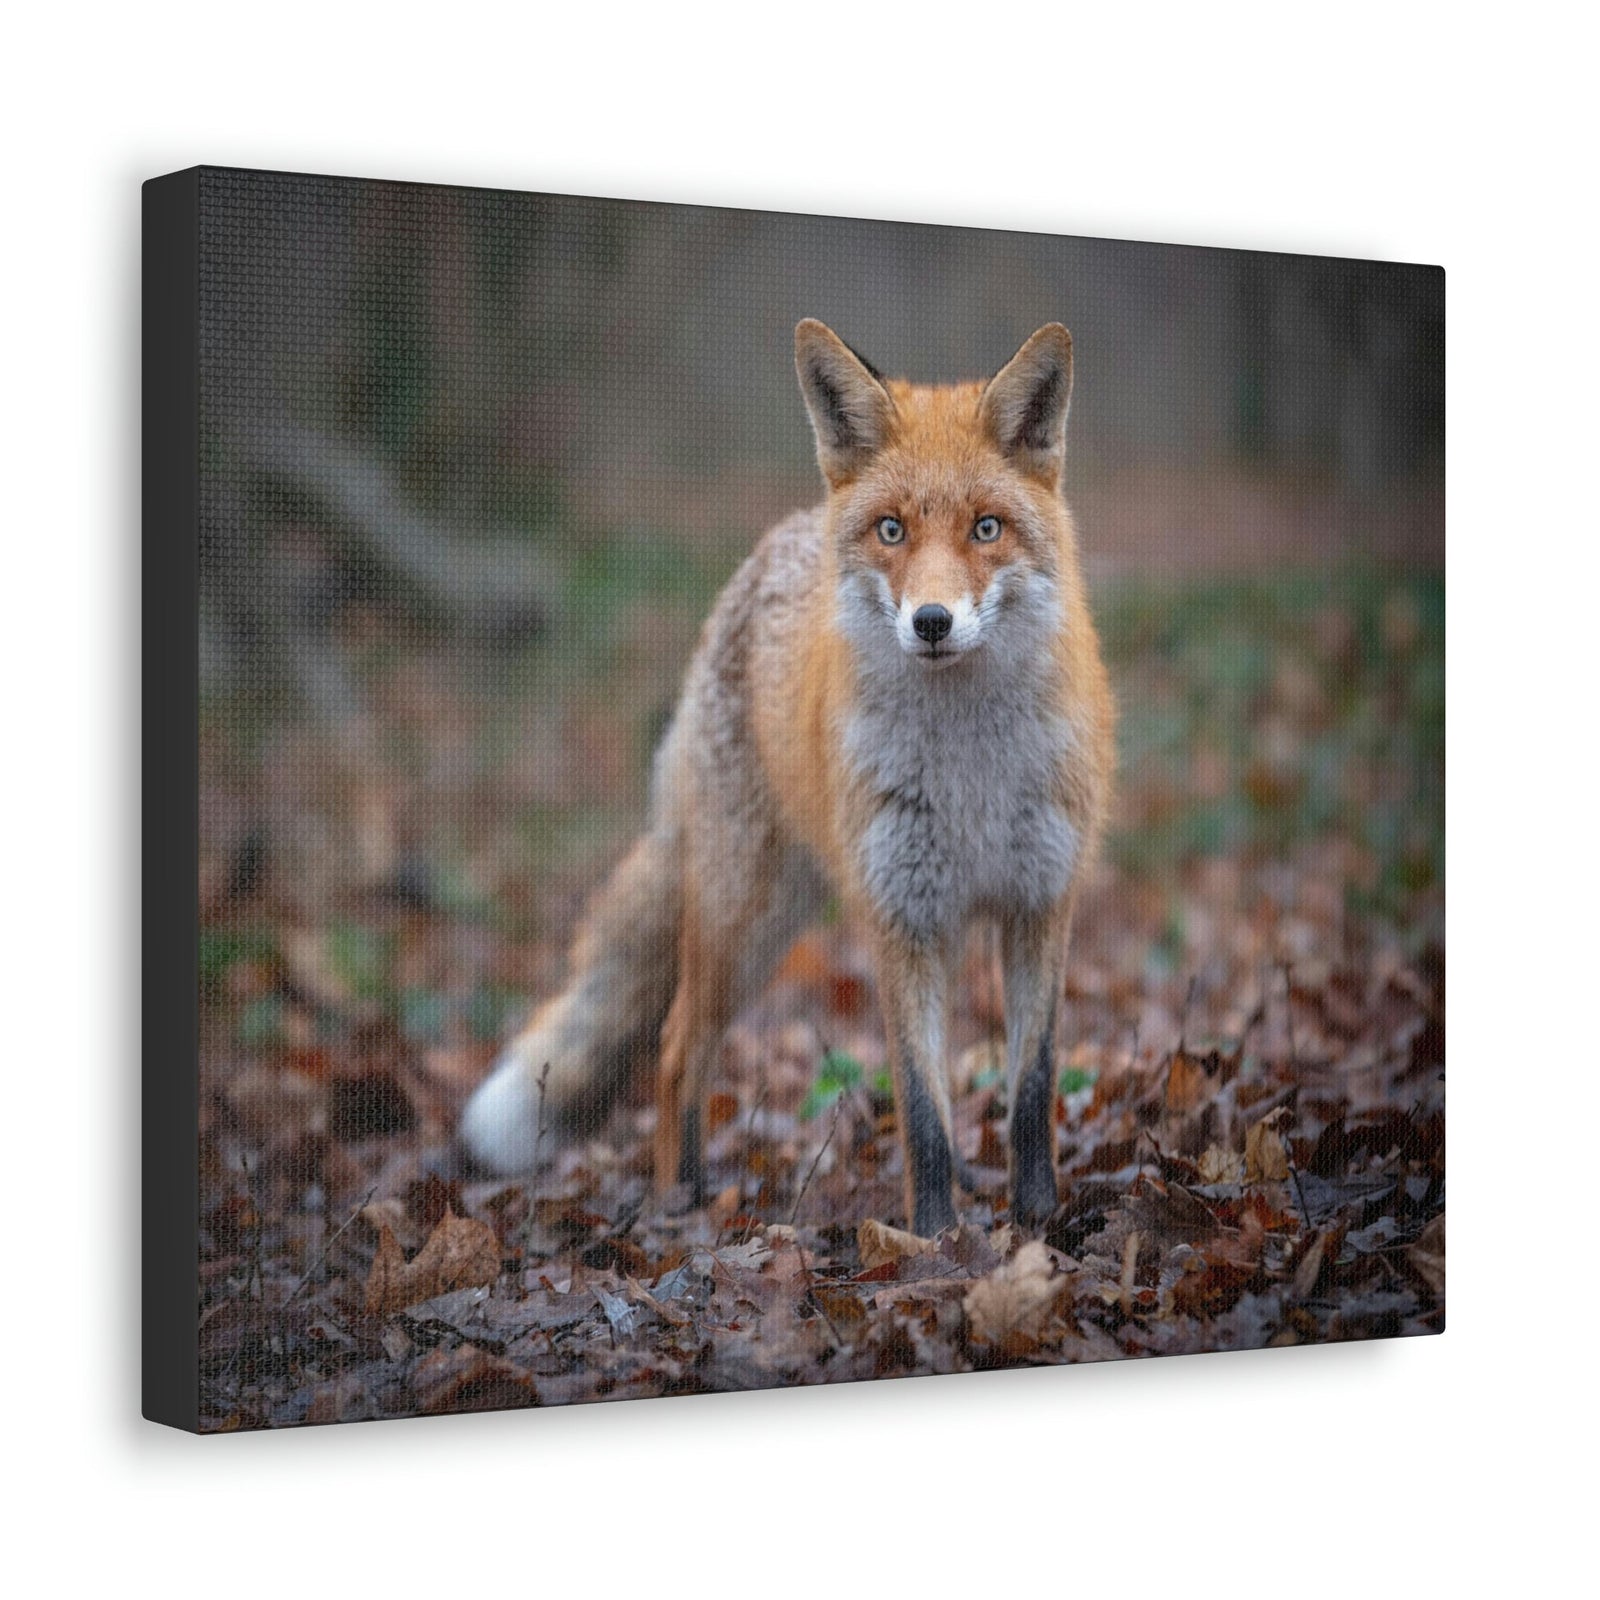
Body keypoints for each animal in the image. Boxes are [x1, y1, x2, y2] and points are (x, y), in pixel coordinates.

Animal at [460, 320, 1116, 1236]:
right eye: (891, 531)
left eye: (987, 529)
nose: (933, 622)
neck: (969, 776)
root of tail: (776, 543)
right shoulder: (901, 918)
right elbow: (922, 1110)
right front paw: (935, 1242)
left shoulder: (1039, 904)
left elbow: (1030, 1092)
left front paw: (1036, 1226)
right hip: (745, 920)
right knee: (675, 1049)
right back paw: (680, 1202)